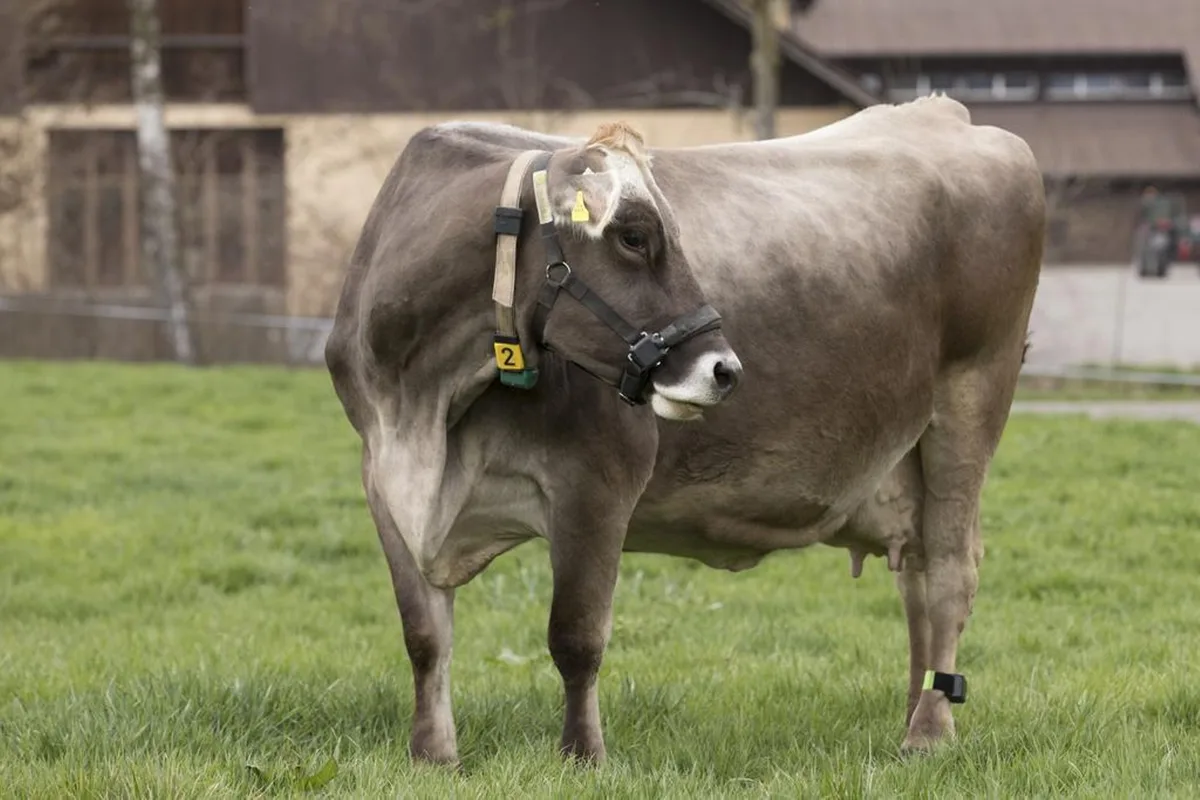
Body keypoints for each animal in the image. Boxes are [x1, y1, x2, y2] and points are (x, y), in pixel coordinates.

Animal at [324, 94, 1045, 767]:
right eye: (634, 236)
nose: (725, 369)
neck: (426, 408)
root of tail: (943, 114)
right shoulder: (382, 480)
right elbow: (425, 636)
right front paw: (432, 755)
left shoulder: (596, 482)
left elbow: (576, 637)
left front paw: (583, 756)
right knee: (916, 578)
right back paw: (915, 719)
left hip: (972, 397)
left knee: (950, 573)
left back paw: (929, 732)